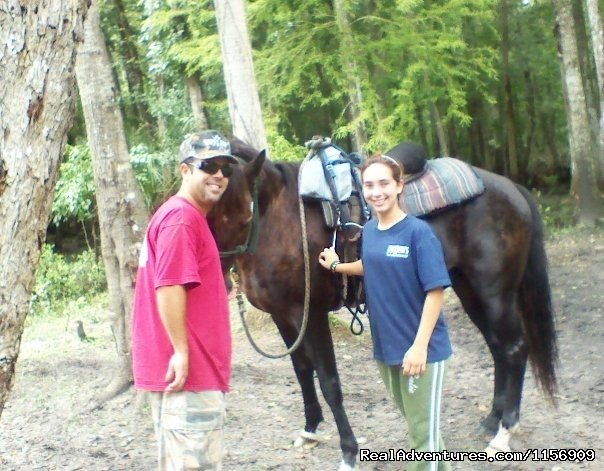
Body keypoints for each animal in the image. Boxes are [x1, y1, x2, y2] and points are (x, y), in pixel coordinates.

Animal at [208, 138, 556, 470]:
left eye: (238, 206)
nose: (220, 276)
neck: (279, 217)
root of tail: (510, 187)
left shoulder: (313, 315)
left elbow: (329, 382)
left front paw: (349, 453)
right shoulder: (283, 316)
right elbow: (303, 371)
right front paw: (309, 430)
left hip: (494, 292)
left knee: (514, 348)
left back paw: (505, 431)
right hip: (469, 289)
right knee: (498, 349)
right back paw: (492, 420)